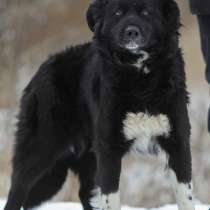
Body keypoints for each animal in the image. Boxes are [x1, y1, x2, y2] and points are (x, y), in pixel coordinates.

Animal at [4, 0, 195, 210]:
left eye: (146, 12)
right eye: (117, 13)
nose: (131, 32)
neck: (139, 78)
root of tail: (44, 66)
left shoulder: (178, 143)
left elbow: (185, 197)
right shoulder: (108, 150)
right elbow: (111, 197)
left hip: (86, 157)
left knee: (84, 192)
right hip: (41, 148)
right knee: (17, 190)